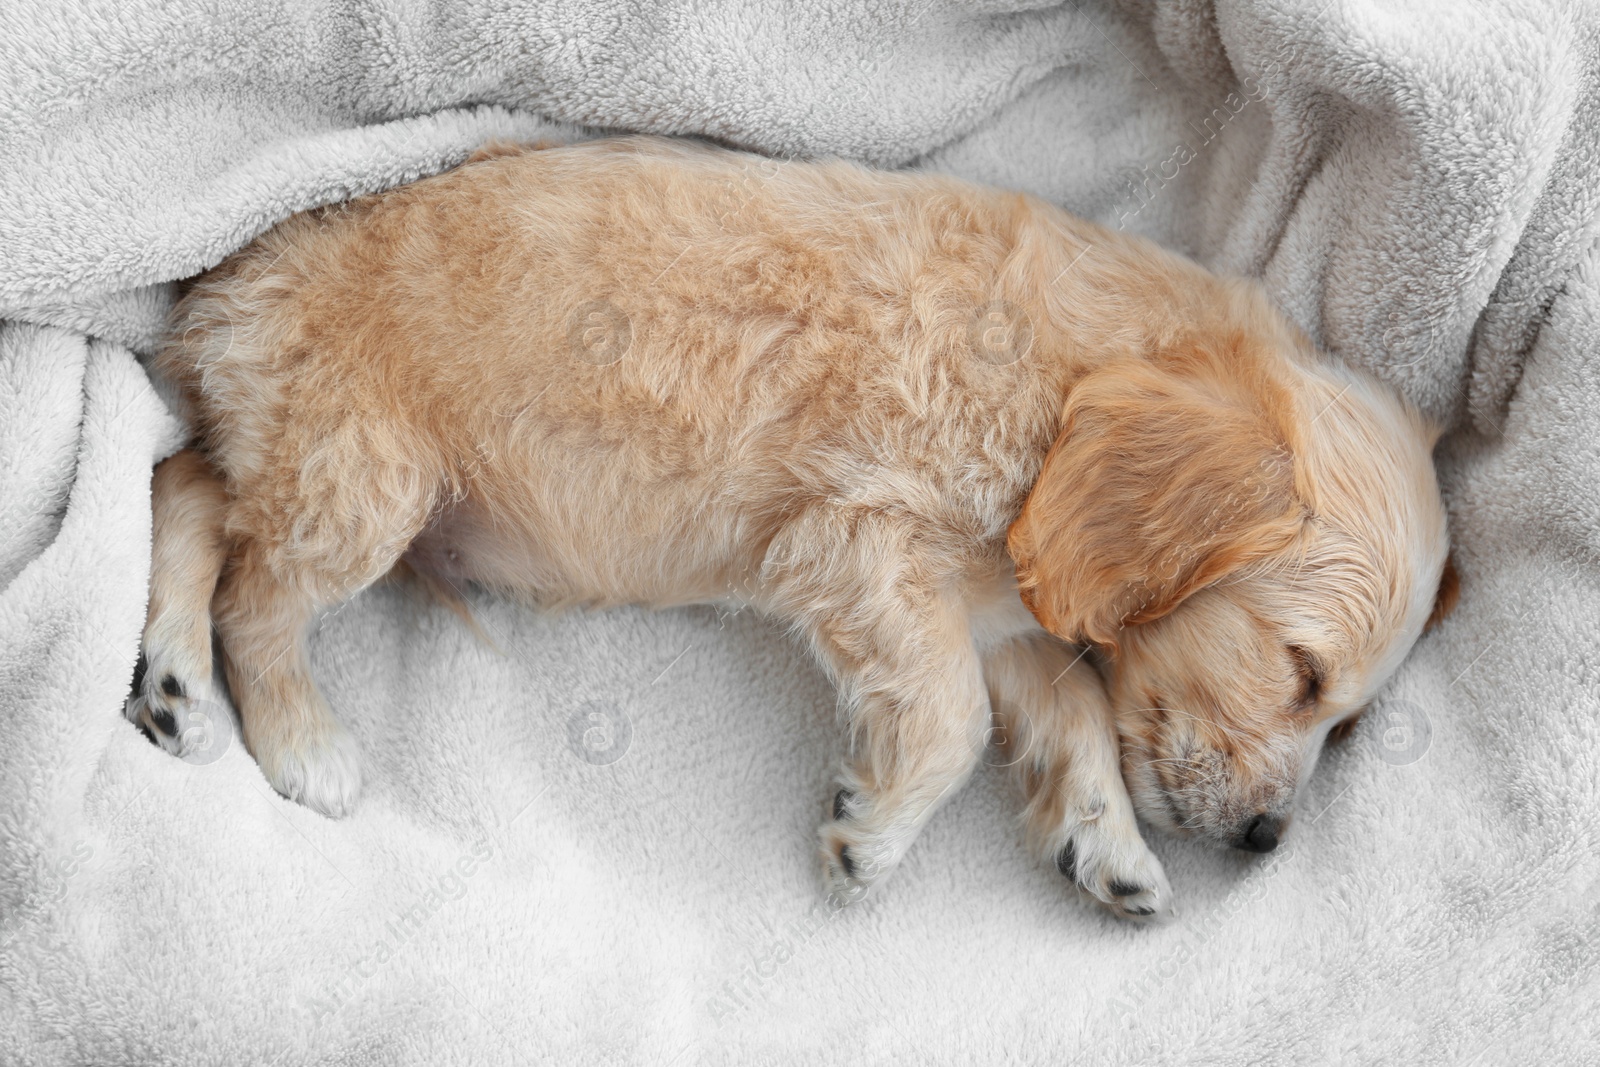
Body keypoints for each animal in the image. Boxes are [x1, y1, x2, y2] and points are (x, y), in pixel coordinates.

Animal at [131, 133, 1459, 921]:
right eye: (1301, 671)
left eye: (1347, 720)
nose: (1269, 841)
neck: (1066, 383)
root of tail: (212, 294)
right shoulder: (862, 540)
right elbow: (953, 721)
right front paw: (873, 830)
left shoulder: (996, 618)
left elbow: (1071, 708)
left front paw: (1106, 843)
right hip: (364, 477)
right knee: (255, 594)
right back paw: (300, 740)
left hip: (300, 460)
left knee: (183, 490)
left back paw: (172, 683)